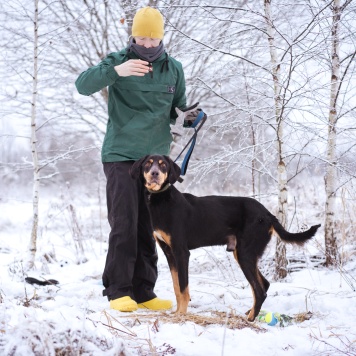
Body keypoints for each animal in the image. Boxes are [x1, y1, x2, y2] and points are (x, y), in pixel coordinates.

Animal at [130, 154, 320, 322]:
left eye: (163, 165)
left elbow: (184, 289)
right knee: (264, 285)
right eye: (148, 164)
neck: (161, 199)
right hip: (243, 253)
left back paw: (251, 319)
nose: (154, 173)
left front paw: (182, 315)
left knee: (260, 290)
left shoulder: (181, 252)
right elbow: (177, 287)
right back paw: (251, 312)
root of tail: (268, 215)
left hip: (245, 254)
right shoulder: (170, 253)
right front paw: (177, 313)